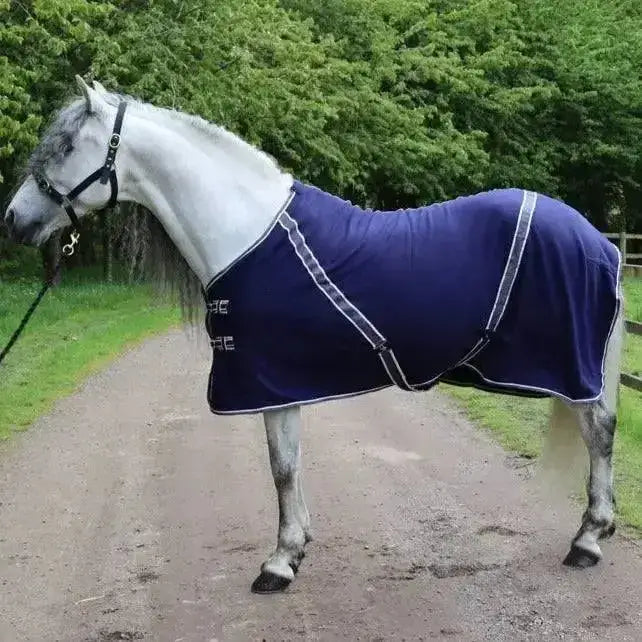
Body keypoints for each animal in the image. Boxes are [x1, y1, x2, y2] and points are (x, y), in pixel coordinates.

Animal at [4, 76, 624, 594]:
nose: (13, 219)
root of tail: (599, 239)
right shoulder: (281, 385)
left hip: (573, 368)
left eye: (65, 147)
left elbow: (281, 469)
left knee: (599, 431)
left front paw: (279, 563)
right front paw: (297, 547)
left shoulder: (268, 382)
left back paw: (588, 540)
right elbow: (291, 466)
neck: (248, 232)